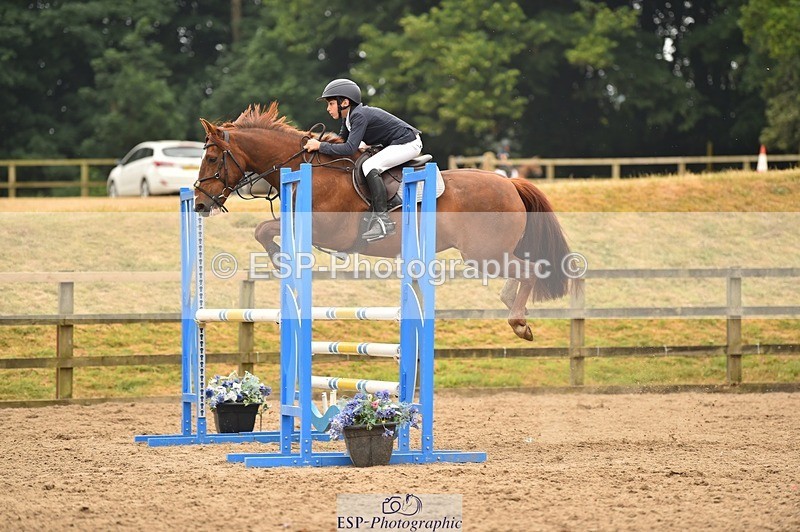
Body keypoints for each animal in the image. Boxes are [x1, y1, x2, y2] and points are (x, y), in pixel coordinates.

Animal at [194, 103, 572, 341]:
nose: (199, 203)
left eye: (212, 158)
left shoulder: (327, 230)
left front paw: (276, 258)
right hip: (489, 254)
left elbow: (264, 230)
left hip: (484, 253)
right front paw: (278, 259)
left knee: (529, 271)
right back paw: (512, 305)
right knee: (522, 272)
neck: (309, 169)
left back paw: (519, 322)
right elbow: (264, 230)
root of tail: (510, 183)